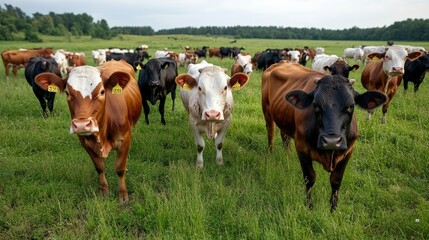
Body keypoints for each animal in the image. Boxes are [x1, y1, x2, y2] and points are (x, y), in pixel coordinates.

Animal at [34, 59, 142, 202]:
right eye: (67, 93)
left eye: (102, 92)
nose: (81, 125)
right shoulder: (85, 142)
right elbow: (99, 167)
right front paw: (103, 190)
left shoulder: (125, 139)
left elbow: (120, 168)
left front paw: (123, 195)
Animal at [260, 61, 388, 211]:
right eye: (315, 105)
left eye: (351, 106)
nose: (332, 141)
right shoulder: (302, 148)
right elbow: (309, 178)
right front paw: (309, 206)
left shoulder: (348, 151)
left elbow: (336, 180)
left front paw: (333, 208)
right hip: (266, 110)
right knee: (271, 132)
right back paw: (271, 153)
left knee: (285, 136)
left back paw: (287, 156)